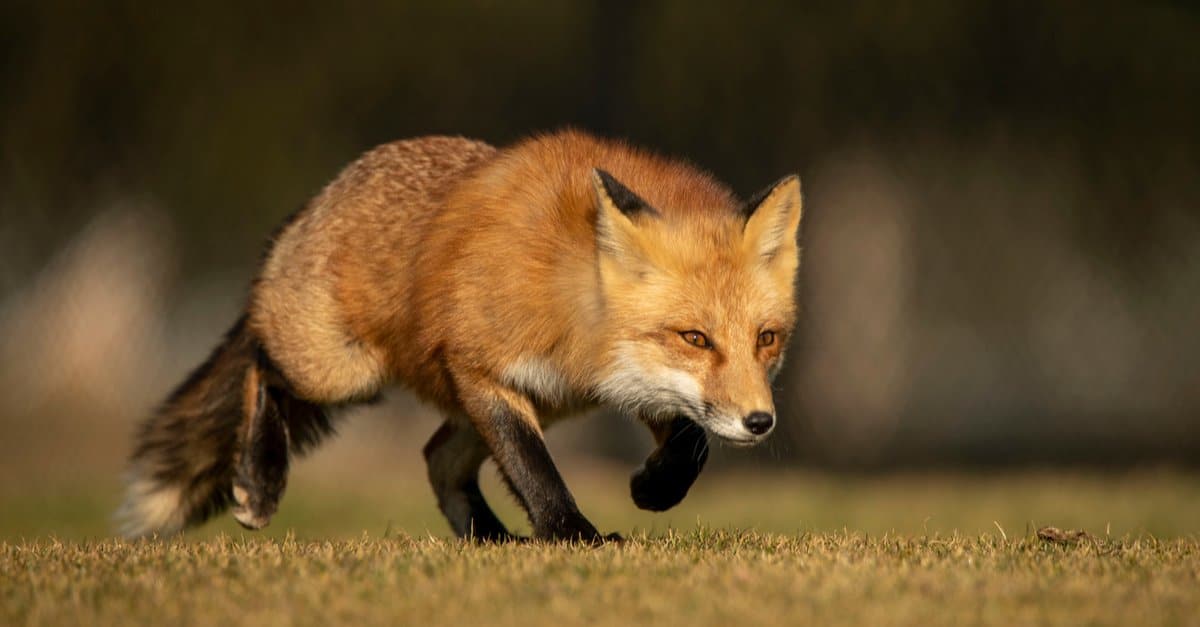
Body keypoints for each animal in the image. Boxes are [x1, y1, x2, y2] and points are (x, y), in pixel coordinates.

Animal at [119, 129, 803, 542]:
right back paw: (261, 476)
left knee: (436, 458)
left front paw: (652, 486)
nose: (761, 422)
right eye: (695, 338)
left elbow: (691, 444)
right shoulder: (482, 370)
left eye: (766, 339)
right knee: (261, 363)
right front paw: (571, 535)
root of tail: (323, 194)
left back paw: (490, 542)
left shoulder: (628, 383)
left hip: (540, 403)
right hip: (340, 370)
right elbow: (533, 469)